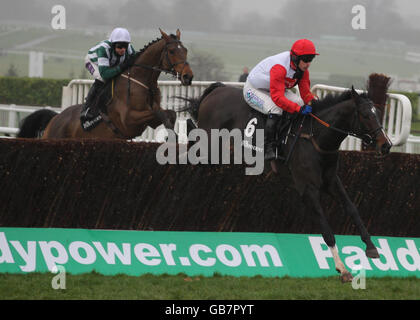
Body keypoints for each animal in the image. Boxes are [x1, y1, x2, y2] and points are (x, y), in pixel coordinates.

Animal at [17, 29, 192, 139]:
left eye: (185, 50)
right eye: (172, 51)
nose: (188, 76)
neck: (143, 81)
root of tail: (55, 118)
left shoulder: (150, 120)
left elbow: (169, 114)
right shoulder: (129, 119)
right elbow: (161, 113)